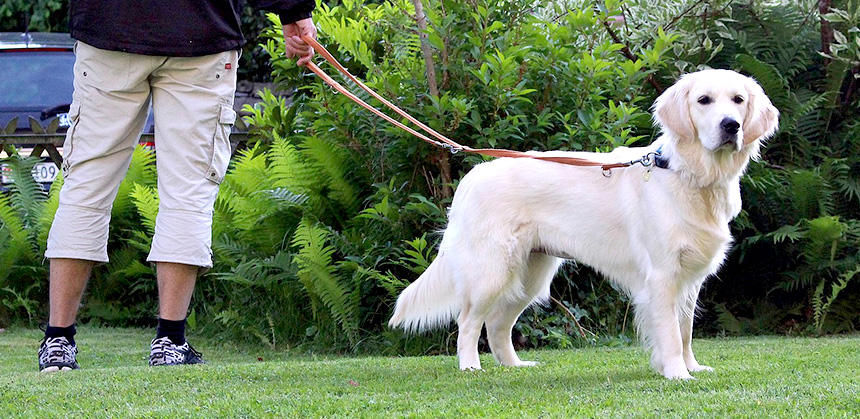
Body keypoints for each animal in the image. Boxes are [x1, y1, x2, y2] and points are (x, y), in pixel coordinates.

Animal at [390, 69, 780, 380]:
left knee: (498, 324)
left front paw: (692, 366)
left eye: (738, 100)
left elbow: (685, 331)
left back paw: (515, 366)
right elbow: (670, 332)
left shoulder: (690, 279)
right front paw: (677, 373)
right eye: (703, 100)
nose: (731, 126)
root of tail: (472, 177)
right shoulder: (662, 277)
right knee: (469, 321)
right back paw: (470, 366)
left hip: (531, 274)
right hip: (492, 270)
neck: (687, 173)